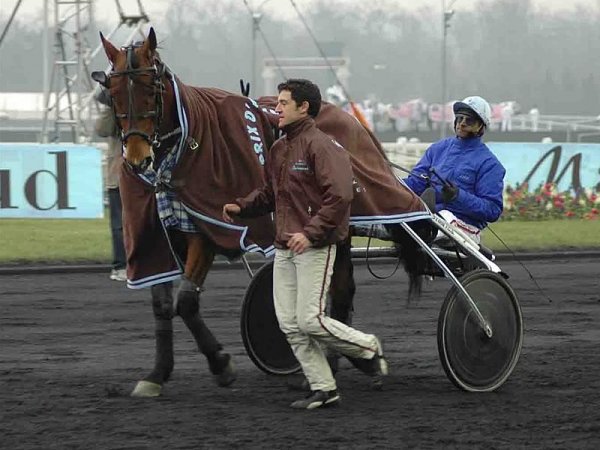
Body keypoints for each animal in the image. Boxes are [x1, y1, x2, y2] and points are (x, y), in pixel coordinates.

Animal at [92, 26, 432, 398]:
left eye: (150, 88)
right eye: (113, 92)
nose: (137, 158)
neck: (185, 147)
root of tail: (354, 122)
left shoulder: (207, 232)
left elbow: (186, 302)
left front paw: (221, 364)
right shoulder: (161, 235)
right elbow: (163, 306)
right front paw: (157, 373)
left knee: (339, 291)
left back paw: (347, 361)